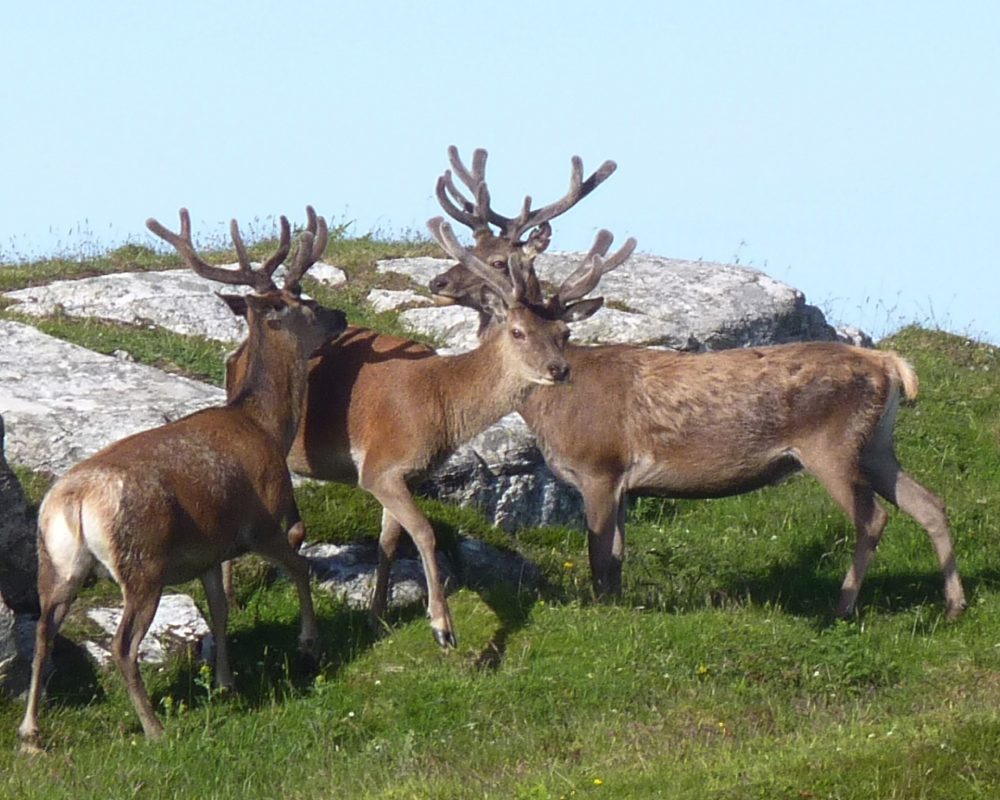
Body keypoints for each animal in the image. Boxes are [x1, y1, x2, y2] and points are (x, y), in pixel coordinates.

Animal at [18, 206, 348, 752]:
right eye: (301, 301)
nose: (340, 317)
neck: (264, 426)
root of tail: (74, 500)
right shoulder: (261, 519)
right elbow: (300, 567)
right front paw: (308, 644)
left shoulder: (210, 549)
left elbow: (220, 608)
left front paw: (226, 683)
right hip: (143, 561)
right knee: (122, 644)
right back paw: (154, 728)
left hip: (59, 562)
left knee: (45, 627)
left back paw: (30, 731)